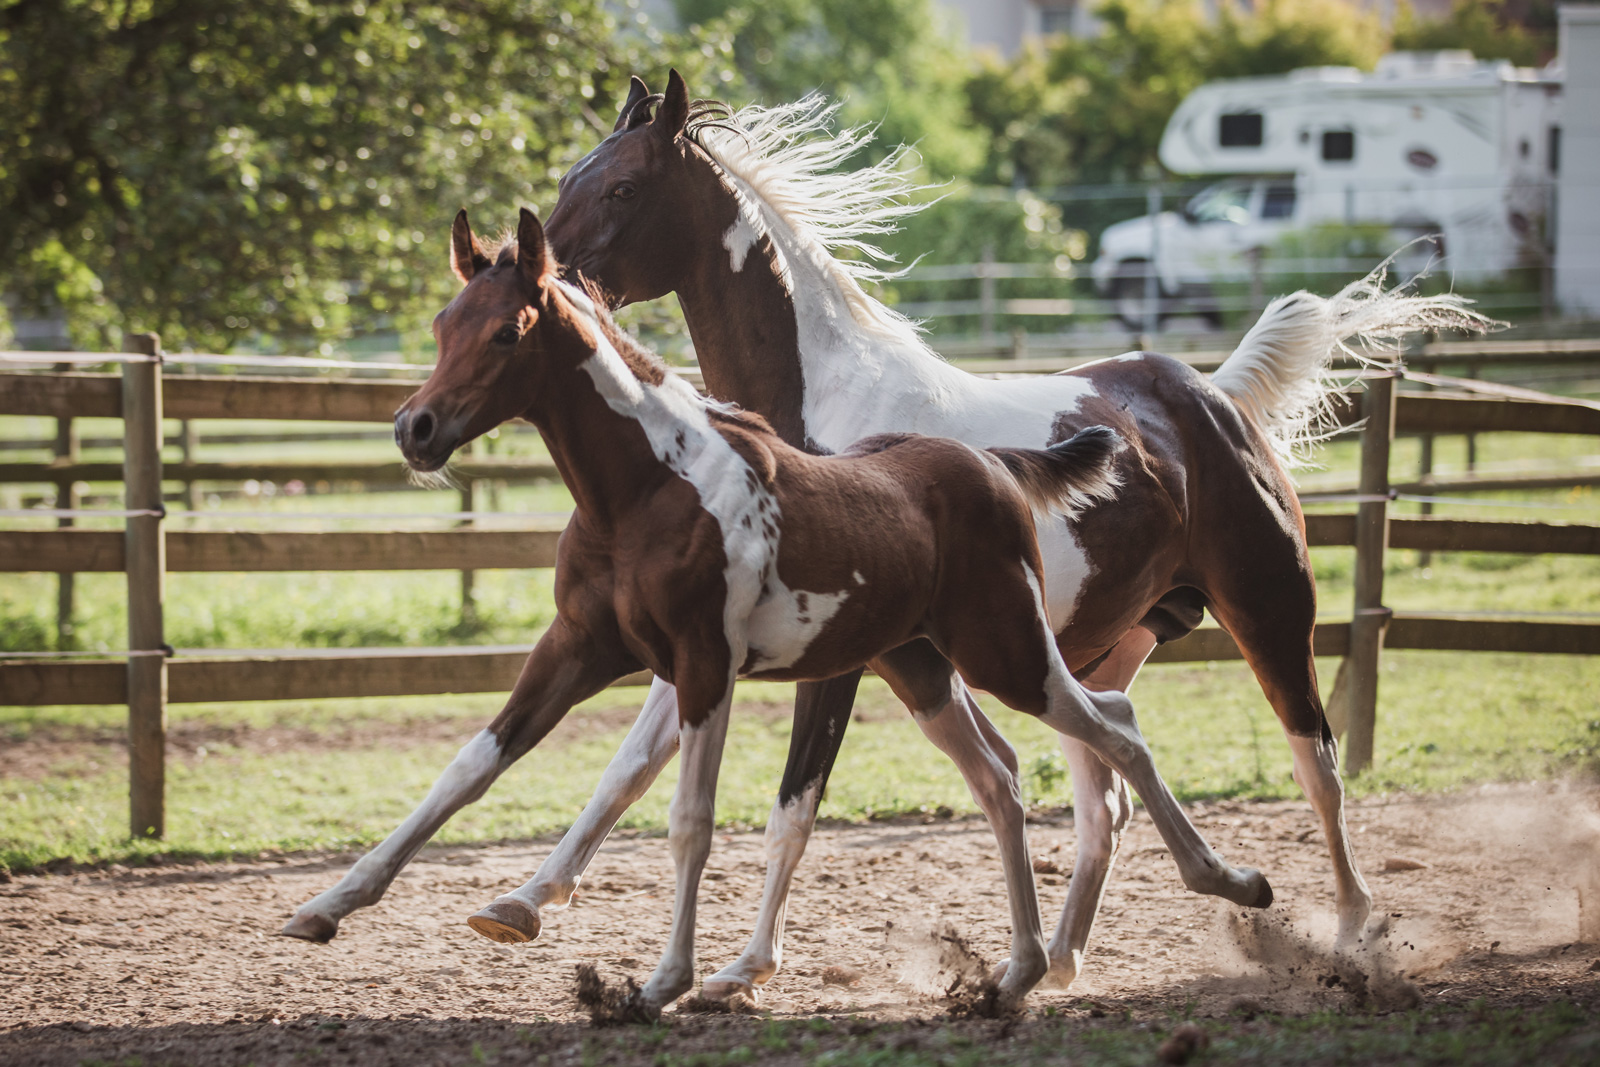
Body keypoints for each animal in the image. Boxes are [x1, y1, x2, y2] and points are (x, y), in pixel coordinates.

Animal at [281, 211, 1267, 1017]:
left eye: (505, 329)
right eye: (443, 325)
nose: (415, 429)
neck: (648, 487)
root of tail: (994, 464)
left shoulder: (702, 664)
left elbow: (691, 819)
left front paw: (661, 984)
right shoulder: (578, 647)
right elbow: (467, 769)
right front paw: (323, 908)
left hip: (1008, 655)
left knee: (1115, 732)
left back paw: (1231, 882)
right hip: (923, 669)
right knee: (1004, 772)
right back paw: (1017, 973)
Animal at [521, 75, 1484, 1004]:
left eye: (623, 186)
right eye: (567, 178)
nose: (544, 280)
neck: (819, 420)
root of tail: (1211, 396)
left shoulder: (830, 658)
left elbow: (794, 804)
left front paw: (743, 968)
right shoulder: (711, 641)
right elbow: (627, 767)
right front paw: (527, 901)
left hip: (1268, 615)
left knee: (1316, 762)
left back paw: (1351, 935)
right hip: (1095, 649)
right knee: (1109, 788)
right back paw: (1055, 959)